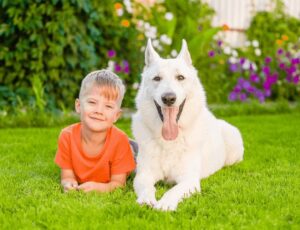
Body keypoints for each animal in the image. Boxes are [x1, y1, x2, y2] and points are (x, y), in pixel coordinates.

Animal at [132, 39, 244, 210]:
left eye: (180, 77)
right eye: (157, 78)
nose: (169, 98)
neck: (170, 141)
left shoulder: (189, 181)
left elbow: (173, 190)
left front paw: (165, 204)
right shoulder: (143, 175)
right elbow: (147, 188)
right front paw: (146, 200)